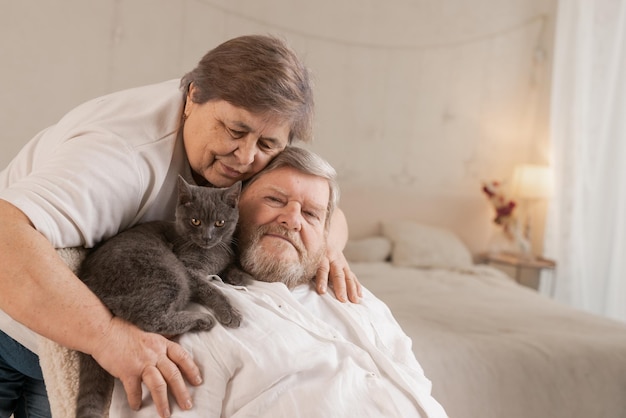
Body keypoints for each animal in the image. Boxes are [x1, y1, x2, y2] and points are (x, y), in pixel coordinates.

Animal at [75, 176, 244, 418]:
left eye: (220, 223)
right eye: (195, 221)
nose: (207, 237)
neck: (212, 251)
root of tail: (85, 280)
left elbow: (228, 266)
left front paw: (238, 275)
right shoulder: (188, 269)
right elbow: (211, 289)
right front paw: (229, 312)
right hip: (169, 271)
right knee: (151, 320)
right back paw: (202, 320)